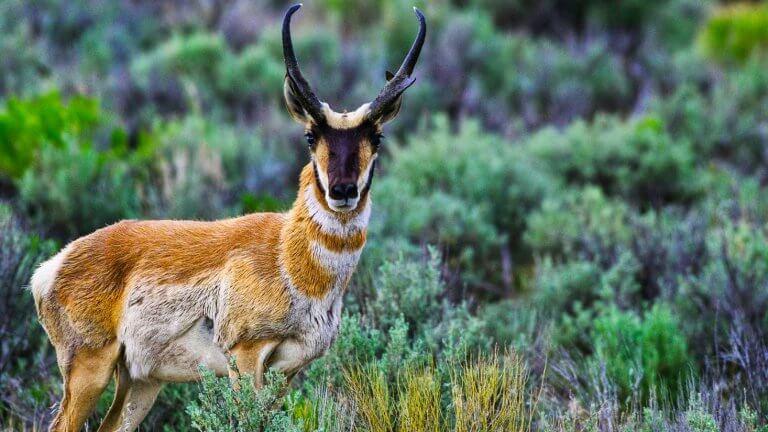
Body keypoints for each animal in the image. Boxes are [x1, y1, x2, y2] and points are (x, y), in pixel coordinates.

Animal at [30, 4, 426, 432]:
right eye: (310, 135)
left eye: (377, 137)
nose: (342, 191)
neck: (285, 256)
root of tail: (52, 267)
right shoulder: (245, 356)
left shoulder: (287, 372)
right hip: (90, 368)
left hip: (140, 381)